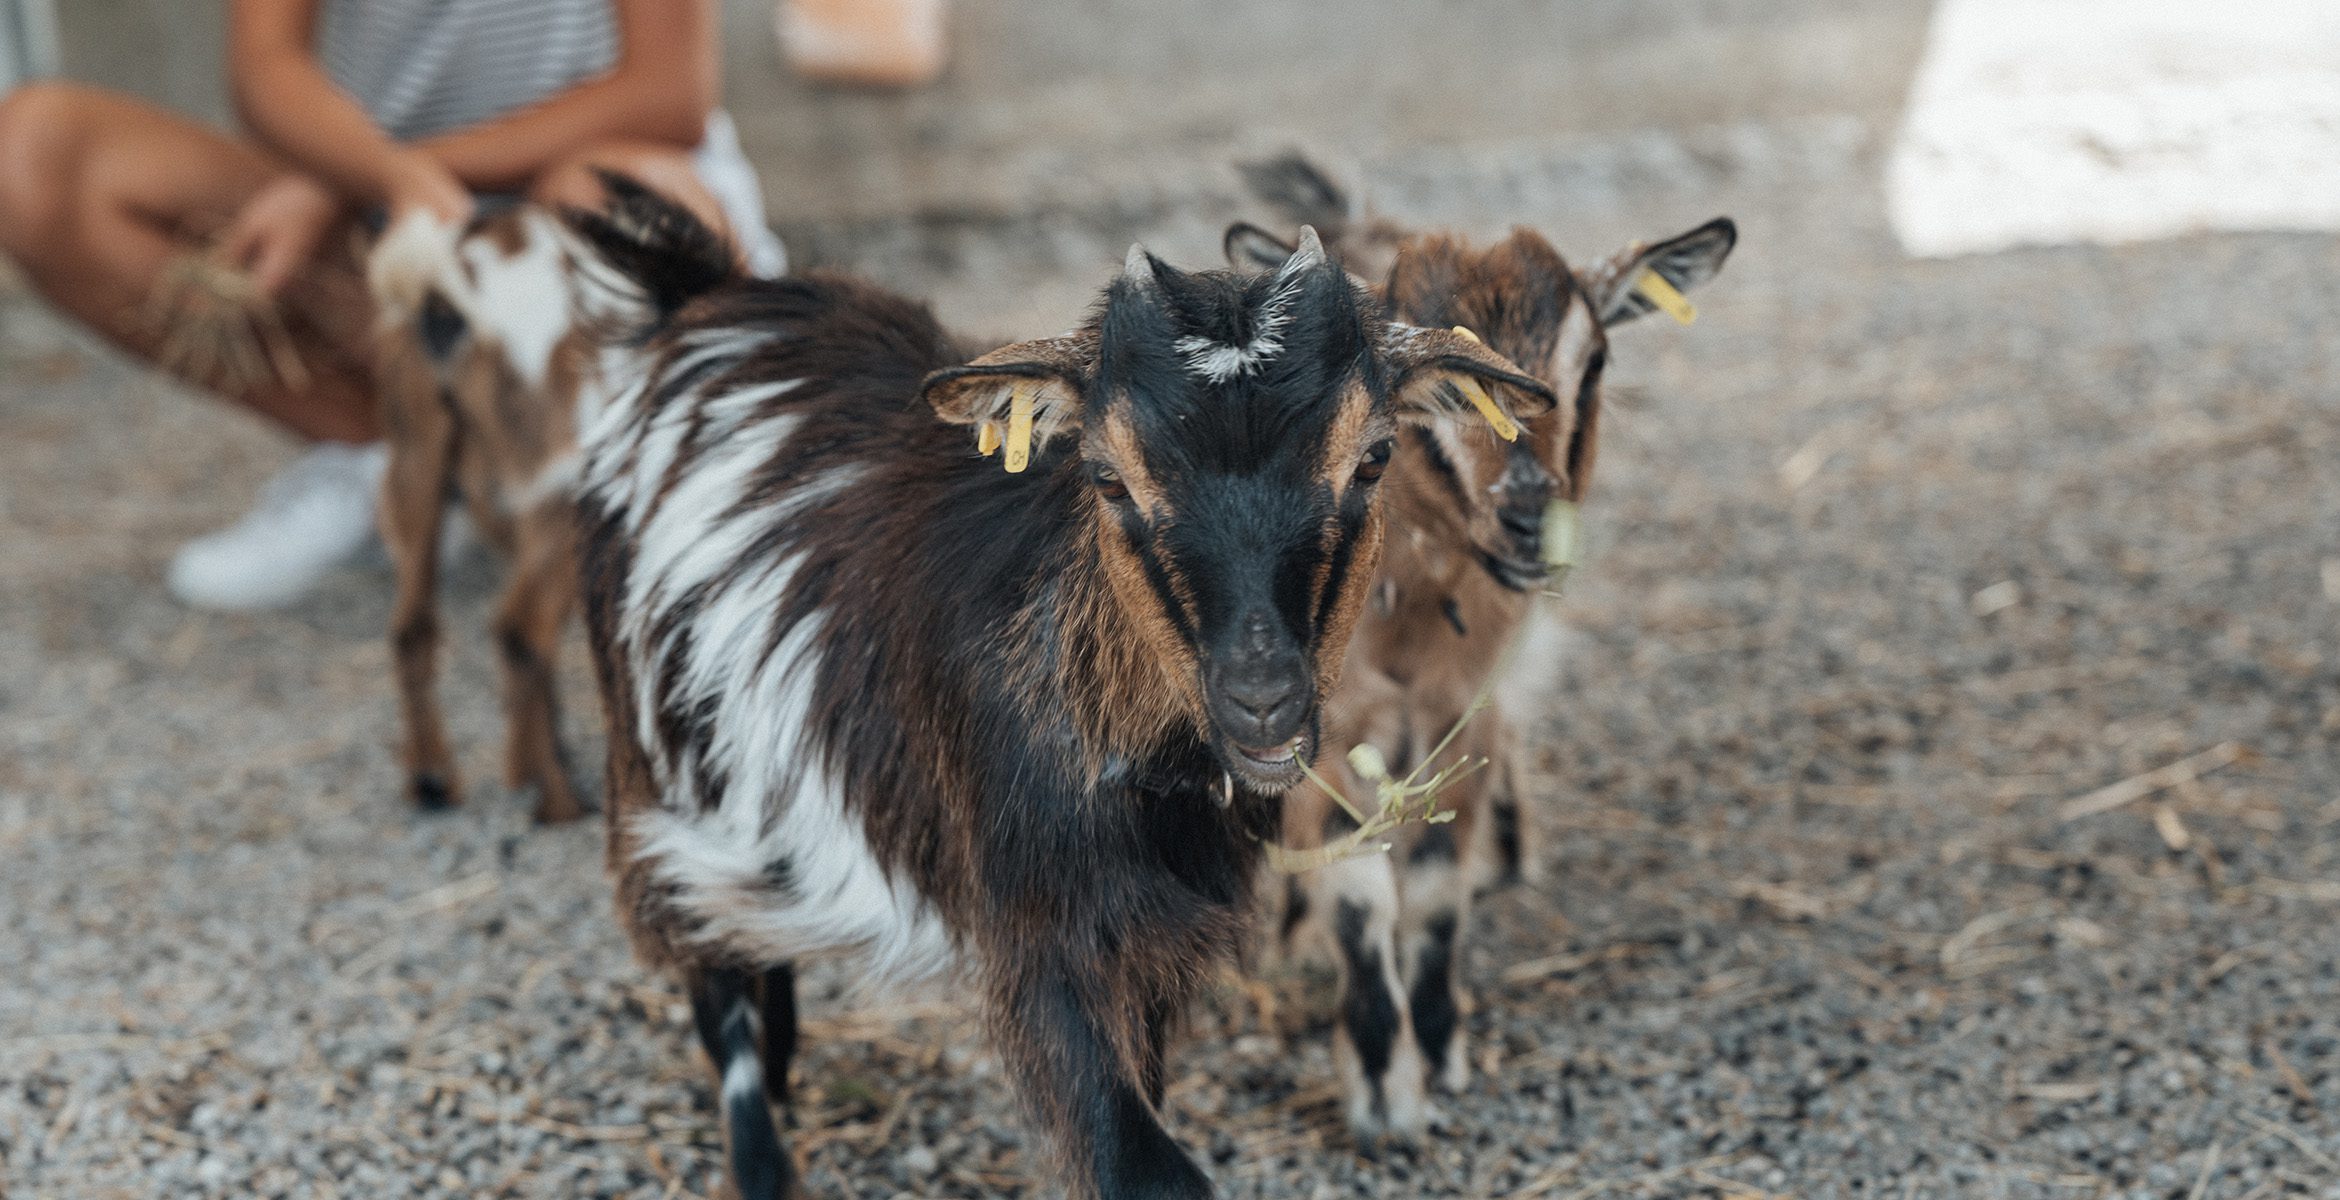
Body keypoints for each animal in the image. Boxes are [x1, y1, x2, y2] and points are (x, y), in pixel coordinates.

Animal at [360, 208, 631, 823]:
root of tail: (442, 294)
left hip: (417, 464)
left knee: (413, 628)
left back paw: (434, 780)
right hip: (560, 492)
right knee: (518, 630)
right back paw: (557, 803)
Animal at [561, 180, 1553, 1197]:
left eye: (1373, 457)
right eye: (1108, 478)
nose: (1263, 697)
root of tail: (702, 294)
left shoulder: (1151, 941)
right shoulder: (1040, 939)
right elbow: (1139, 1163)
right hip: (651, 768)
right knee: (704, 958)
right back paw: (762, 1154)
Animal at [1226, 154, 1740, 1136]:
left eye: (1595, 360)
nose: (1532, 516)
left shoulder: (1463, 704)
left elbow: (1432, 887)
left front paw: (1436, 1045)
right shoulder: (1321, 719)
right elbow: (1358, 887)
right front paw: (1381, 1085)